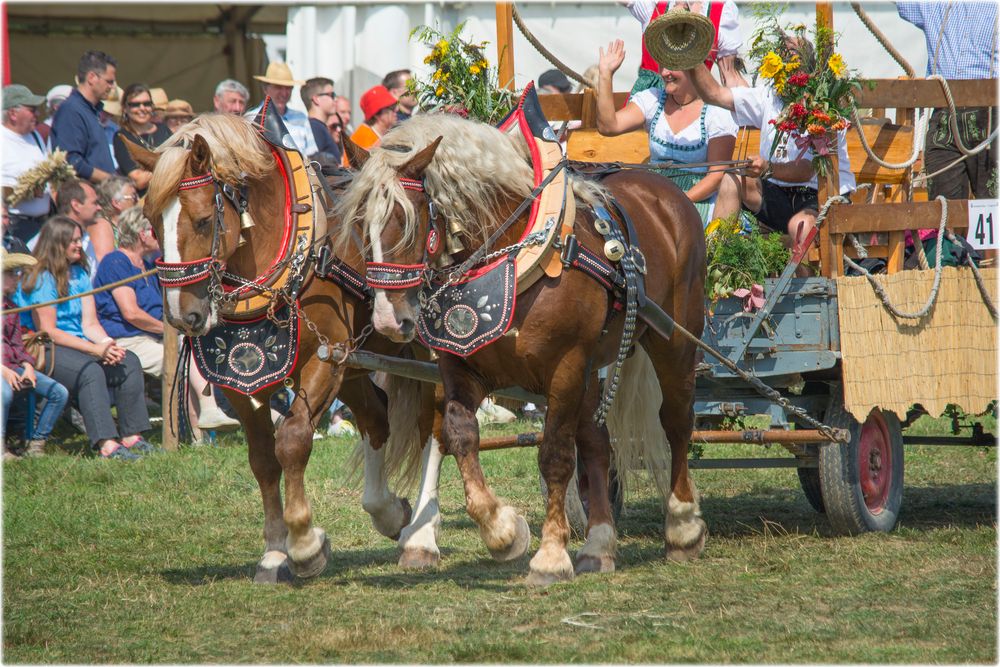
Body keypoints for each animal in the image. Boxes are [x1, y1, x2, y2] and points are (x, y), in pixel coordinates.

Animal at [125, 112, 438, 580]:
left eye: (203, 220)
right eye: (150, 221)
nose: (183, 315)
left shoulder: (325, 359)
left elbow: (291, 440)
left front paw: (306, 544)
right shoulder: (242, 377)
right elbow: (262, 458)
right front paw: (274, 551)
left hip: (425, 353)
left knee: (435, 426)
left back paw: (423, 536)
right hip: (356, 367)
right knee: (377, 419)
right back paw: (388, 512)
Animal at [340, 113, 708, 584]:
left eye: (408, 222)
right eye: (358, 224)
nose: (389, 319)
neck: (511, 254)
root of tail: (665, 189)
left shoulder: (565, 366)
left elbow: (554, 455)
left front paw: (550, 556)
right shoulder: (460, 367)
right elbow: (460, 434)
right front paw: (503, 532)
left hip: (673, 340)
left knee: (676, 421)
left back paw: (682, 526)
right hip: (593, 366)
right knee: (597, 443)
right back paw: (599, 545)